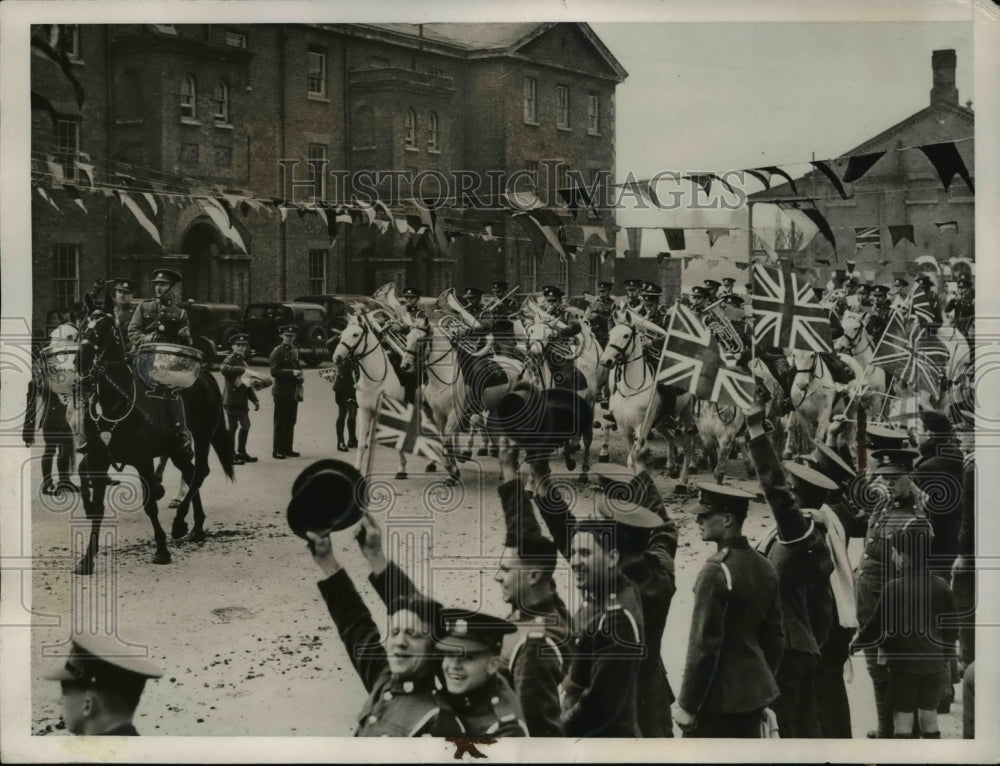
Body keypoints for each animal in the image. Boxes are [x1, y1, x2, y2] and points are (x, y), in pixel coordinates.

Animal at [69, 314, 235, 576]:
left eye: (105, 328)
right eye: (84, 325)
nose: (82, 360)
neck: (116, 405)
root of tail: (207, 375)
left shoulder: (143, 460)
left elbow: (150, 505)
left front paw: (162, 550)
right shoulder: (98, 460)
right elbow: (97, 508)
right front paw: (86, 560)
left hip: (202, 436)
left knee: (199, 472)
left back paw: (179, 523)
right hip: (177, 450)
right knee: (190, 473)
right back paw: (196, 526)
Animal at [328, 312, 406, 480]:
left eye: (355, 334)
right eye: (342, 334)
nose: (337, 357)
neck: (376, 379)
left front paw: (401, 469)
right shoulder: (365, 411)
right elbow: (362, 443)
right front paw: (358, 470)